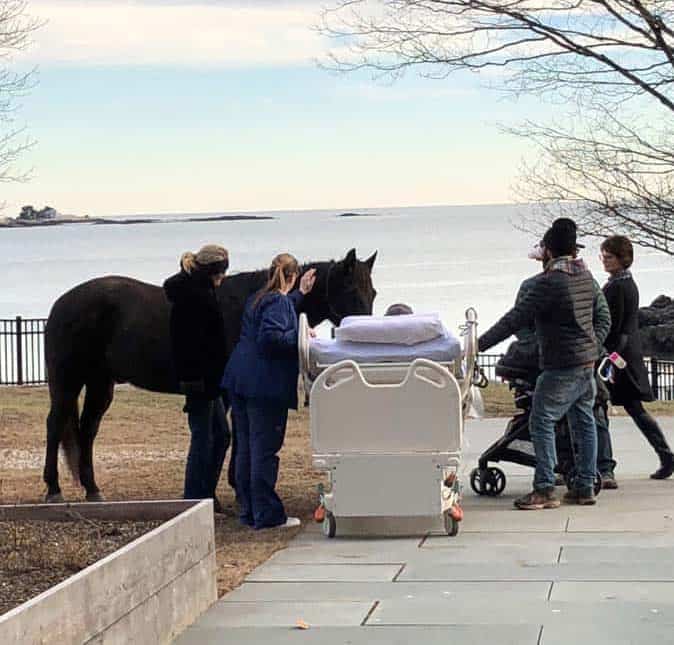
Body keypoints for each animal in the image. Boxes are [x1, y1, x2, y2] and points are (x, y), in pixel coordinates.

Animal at [44, 249, 376, 500]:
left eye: (372, 291)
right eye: (350, 289)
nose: (364, 331)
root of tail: (63, 302)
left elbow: (230, 438)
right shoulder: (228, 393)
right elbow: (233, 437)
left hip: (100, 384)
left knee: (88, 430)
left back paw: (92, 489)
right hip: (67, 382)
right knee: (55, 424)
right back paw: (53, 489)